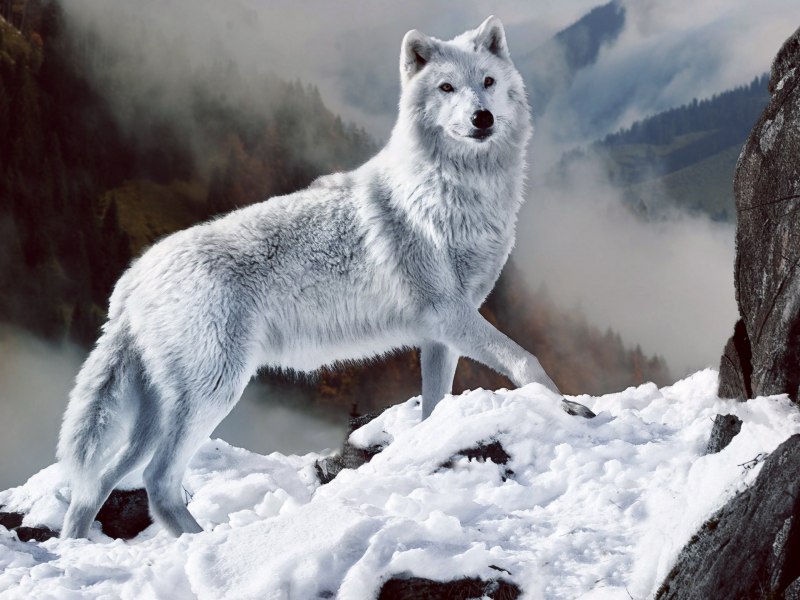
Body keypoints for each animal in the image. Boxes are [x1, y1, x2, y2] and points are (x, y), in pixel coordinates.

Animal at [58, 16, 594, 539]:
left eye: (487, 83)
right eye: (446, 88)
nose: (482, 118)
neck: (453, 195)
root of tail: (132, 279)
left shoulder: (440, 335)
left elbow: (434, 408)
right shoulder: (449, 314)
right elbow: (526, 360)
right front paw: (570, 408)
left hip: (159, 413)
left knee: (99, 481)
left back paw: (76, 545)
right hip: (215, 391)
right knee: (157, 480)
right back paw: (207, 543)